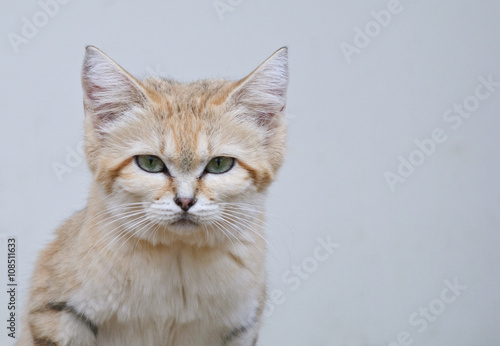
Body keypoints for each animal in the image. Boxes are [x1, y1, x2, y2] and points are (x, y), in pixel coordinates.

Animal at [17, 46, 290, 346]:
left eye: (220, 164)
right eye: (150, 162)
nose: (185, 201)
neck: (177, 259)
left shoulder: (242, 329)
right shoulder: (57, 315)